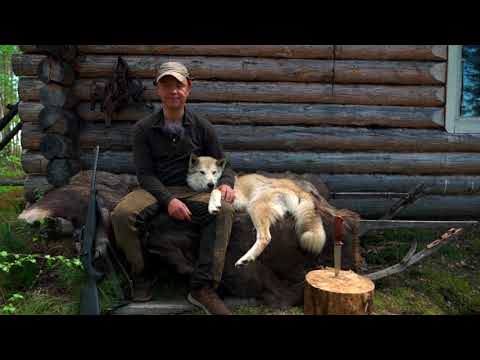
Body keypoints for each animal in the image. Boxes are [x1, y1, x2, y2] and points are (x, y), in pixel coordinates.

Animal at [186, 153, 328, 266]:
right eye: (202, 172)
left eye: (214, 172)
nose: (210, 184)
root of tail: (299, 189)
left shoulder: (232, 195)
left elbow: (215, 191)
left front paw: (213, 206)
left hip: (254, 206)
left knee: (265, 237)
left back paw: (246, 258)